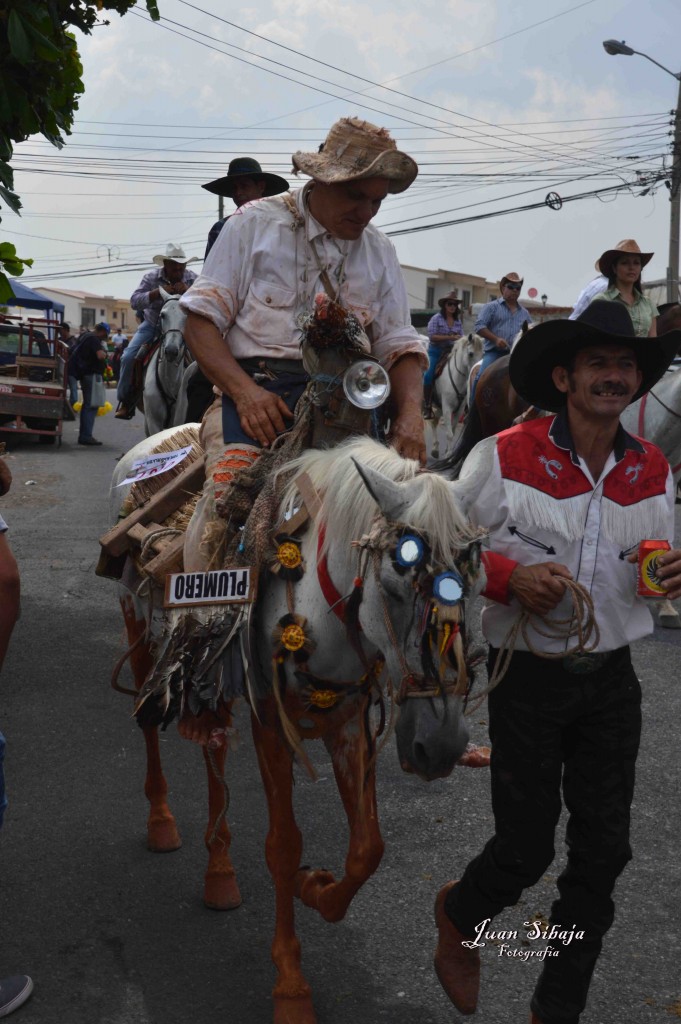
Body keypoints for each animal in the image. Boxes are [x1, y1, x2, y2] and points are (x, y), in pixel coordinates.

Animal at [107, 430, 483, 1024]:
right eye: (396, 582)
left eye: (472, 578)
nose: (441, 746)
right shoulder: (271, 721)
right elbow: (283, 846)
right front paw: (290, 984)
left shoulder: (347, 723)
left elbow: (368, 848)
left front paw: (317, 888)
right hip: (140, 631)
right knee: (151, 731)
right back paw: (162, 821)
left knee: (214, 752)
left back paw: (219, 871)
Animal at [426, 331, 483, 460]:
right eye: (471, 354)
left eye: (483, 354)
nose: (477, 370)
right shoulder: (447, 407)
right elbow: (449, 434)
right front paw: (448, 454)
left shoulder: (459, 410)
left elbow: (451, 429)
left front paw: (448, 452)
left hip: (438, 406)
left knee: (434, 422)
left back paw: (435, 449)